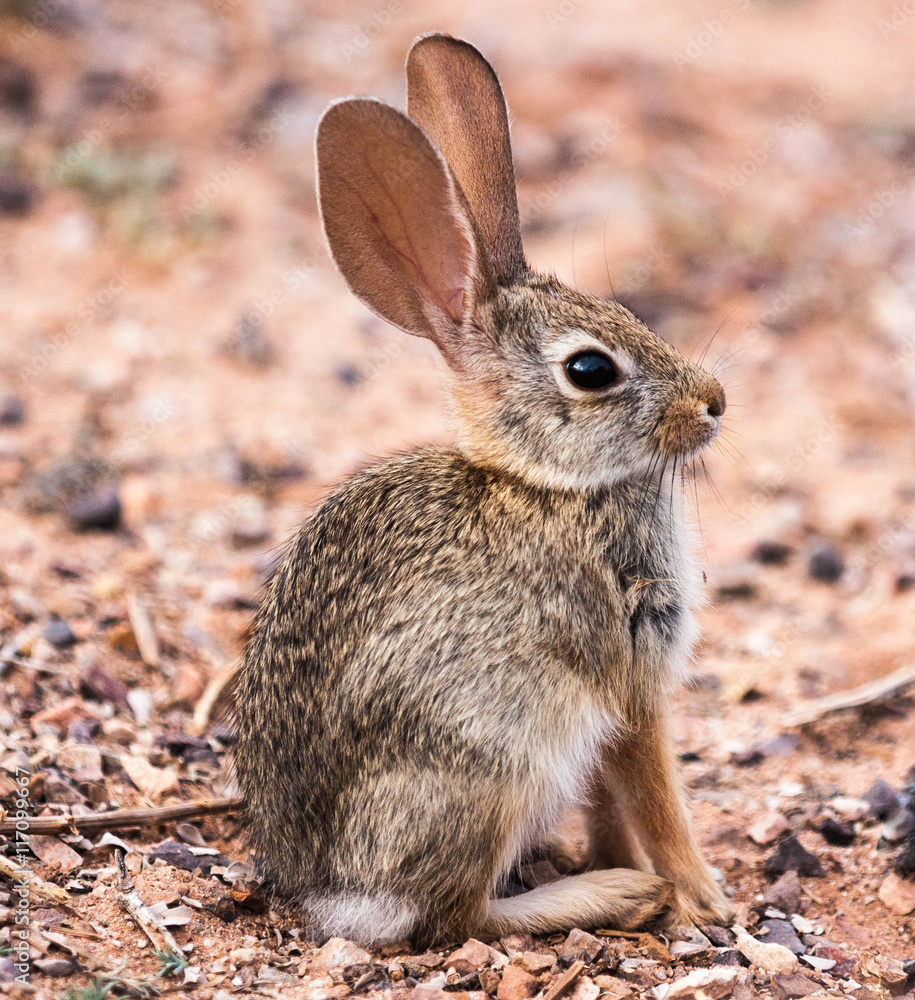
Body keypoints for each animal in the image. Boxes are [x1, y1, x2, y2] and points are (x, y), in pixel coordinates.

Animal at [234, 32, 732, 948]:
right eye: (590, 370)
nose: (712, 402)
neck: (550, 485)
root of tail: (332, 896)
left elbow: (607, 796)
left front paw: (624, 859)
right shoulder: (625, 671)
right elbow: (652, 788)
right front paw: (699, 895)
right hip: (490, 765)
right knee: (454, 917)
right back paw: (609, 895)